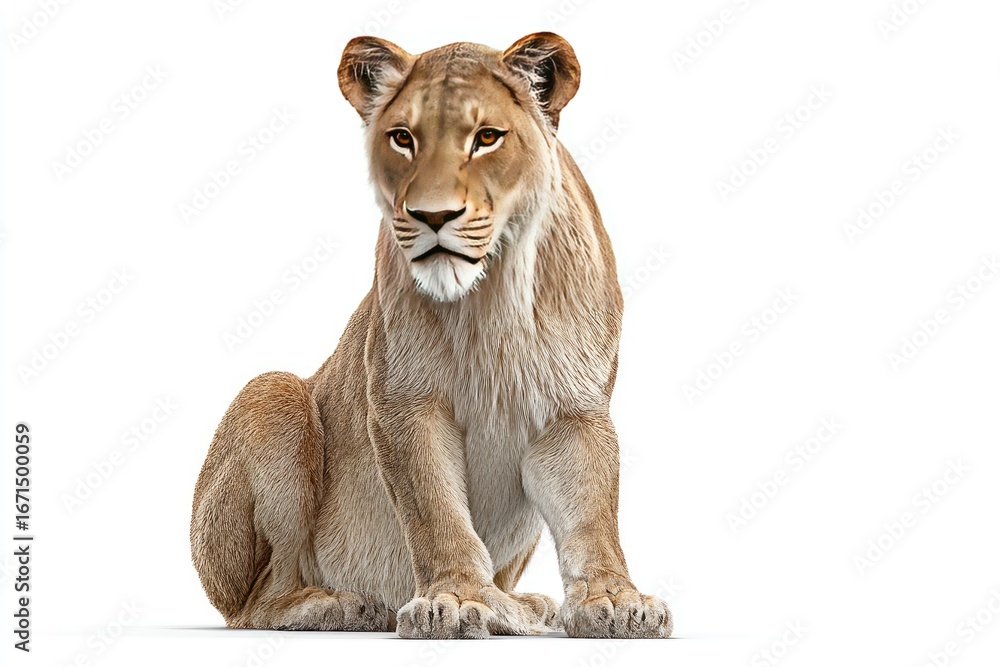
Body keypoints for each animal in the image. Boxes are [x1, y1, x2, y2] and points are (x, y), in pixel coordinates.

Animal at [190, 32, 673, 639]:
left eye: (487, 137)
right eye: (403, 138)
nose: (432, 216)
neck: (493, 298)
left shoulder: (573, 413)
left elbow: (593, 514)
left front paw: (615, 600)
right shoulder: (404, 403)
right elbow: (435, 510)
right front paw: (460, 600)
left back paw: (524, 606)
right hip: (271, 394)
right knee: (257, 602)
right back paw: (344, 604)